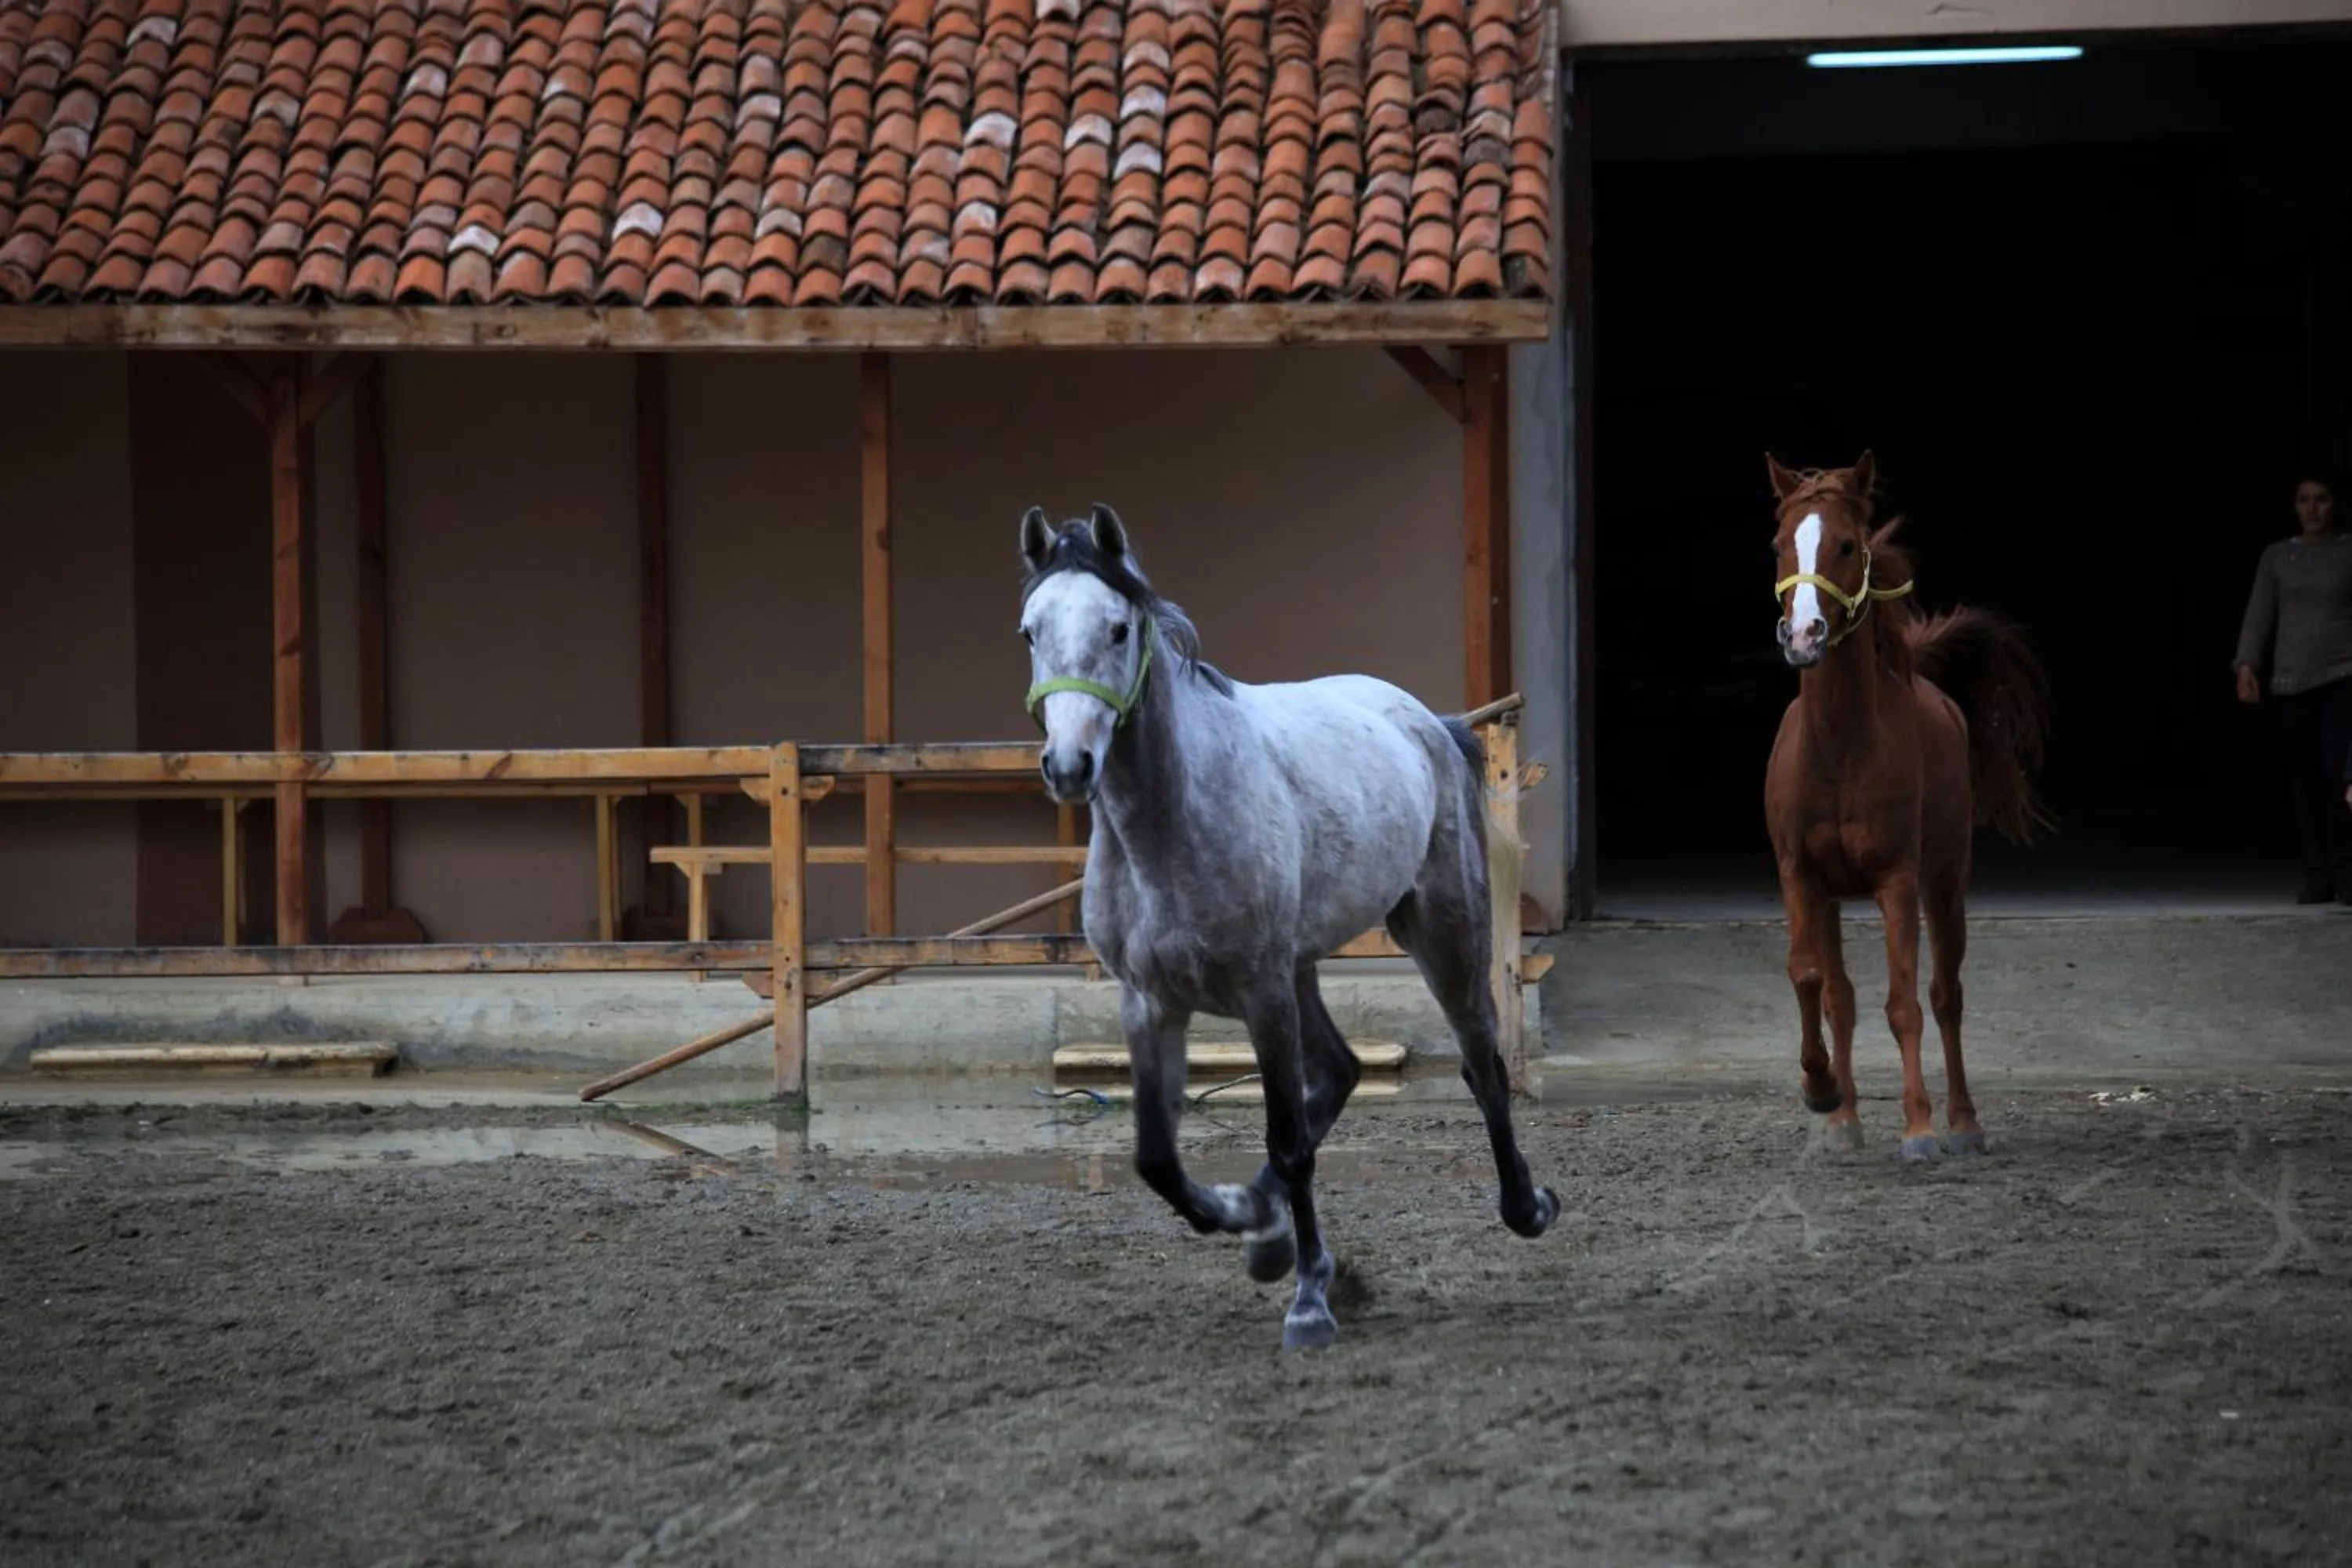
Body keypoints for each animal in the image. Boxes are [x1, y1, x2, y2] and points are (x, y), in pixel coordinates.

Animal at [1015, 503, 1558, 1350]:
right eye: (1030, 631)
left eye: (1117, 628)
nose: (1069, 765)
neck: (1171, 825)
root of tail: (1425, 721)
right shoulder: (1149, 1001)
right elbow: (1156, 1158)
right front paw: (1254, 1228)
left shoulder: (1260, 991)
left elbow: (1289, 1141)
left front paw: (1307, 1301)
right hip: (1302, 967)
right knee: (1340, 1069)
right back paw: (1267, 1226)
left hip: (1439, 931)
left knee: (1482, 1066)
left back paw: (1526, 1207)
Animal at [1762, 452, 2053, 1162]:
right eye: (1780, 545)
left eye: (1846, 544)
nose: (1803, 635)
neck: (1840, 750)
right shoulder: (1800, 877)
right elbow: (1811, 979)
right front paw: (1822, 1094)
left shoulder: (1897, 881)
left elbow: (1905, 1006)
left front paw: (1919, 1129)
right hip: (1837, 898)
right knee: (1841, 997)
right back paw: (1845, 1119)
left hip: (1945, 886)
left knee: (1946, 996)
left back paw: (1963, 1123)